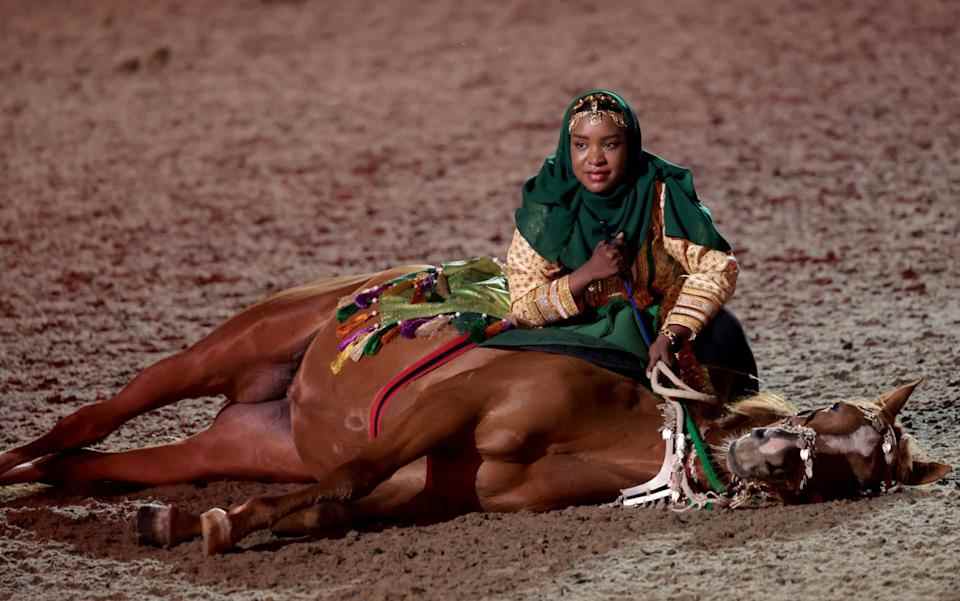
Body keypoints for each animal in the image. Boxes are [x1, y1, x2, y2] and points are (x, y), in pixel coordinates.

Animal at [0, 264, 944, 556]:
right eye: (830, 414)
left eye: (859, 474)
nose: (780, 458)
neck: (609, 421)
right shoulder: (447, 409)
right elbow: (347, 478)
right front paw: (225, 525)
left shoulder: (429, 486)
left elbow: (338, 502)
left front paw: (215, 520)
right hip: (228, 349)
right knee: (92, 416)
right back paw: (22, 462)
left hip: (243, 437)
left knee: (99, 464)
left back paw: (128, 499)